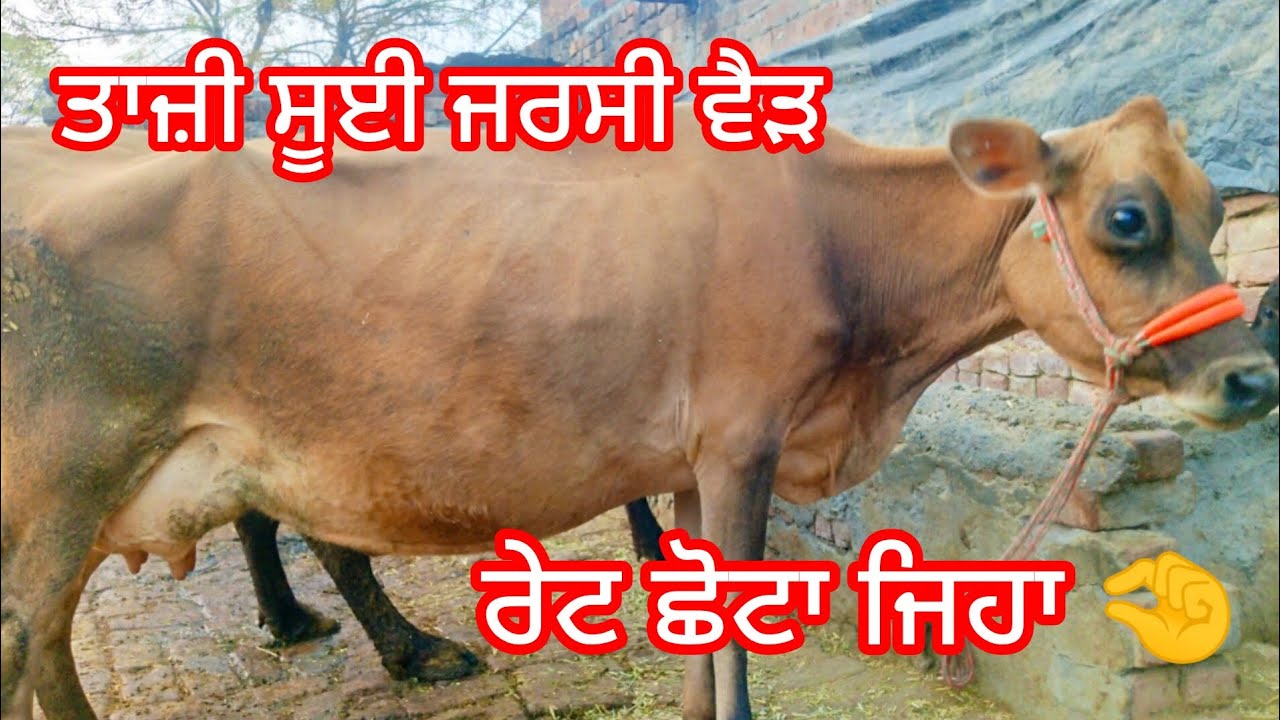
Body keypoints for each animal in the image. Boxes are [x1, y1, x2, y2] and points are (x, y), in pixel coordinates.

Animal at [2, 96, 1277, 720]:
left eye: (1219, 208)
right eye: (1124, 217)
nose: (1252, 378)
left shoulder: (689, 463)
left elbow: (697, 650)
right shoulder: (741, 441)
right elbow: (734, 658)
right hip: (67, 481)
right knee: (31, 640)